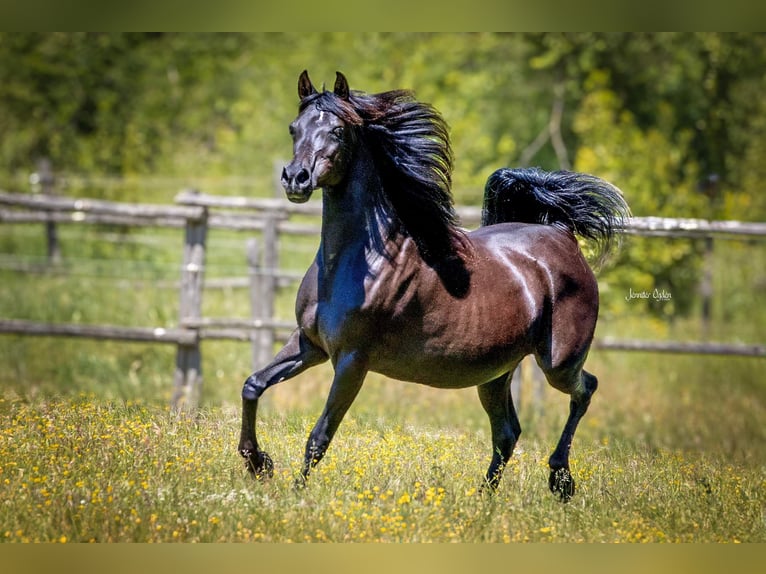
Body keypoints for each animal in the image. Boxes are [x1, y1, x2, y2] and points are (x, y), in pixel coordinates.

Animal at [238, 70, 629, 501]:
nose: (296, 179)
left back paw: (560, 479)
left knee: (585, 389)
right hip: (495, 373)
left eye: (338, 130)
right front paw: (257, 464)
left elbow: (320, 435)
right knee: (507, 433)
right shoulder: (310, 345)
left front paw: (295, 493)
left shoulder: (352, 360)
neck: (359, 260)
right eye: (294, 128)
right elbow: (253, 385)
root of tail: (562, 234)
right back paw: (482, 502)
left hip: (558, 361)